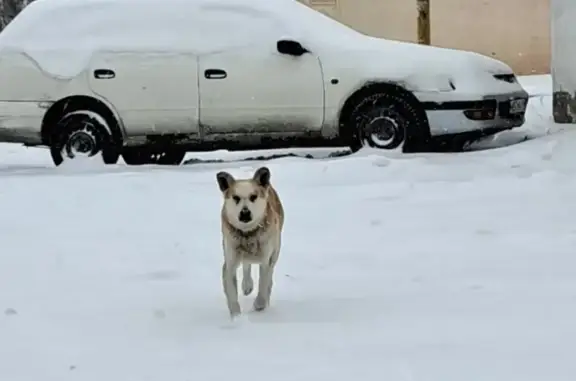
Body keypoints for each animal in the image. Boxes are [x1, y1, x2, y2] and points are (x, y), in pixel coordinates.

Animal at [216, 166, 286, 318]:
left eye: (253, 196)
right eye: (236, 198)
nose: (245, 212)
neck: (248, 235)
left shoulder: (266, 259)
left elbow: (264, 281)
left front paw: (259, 304)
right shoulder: (229, 262)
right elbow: (231, 293)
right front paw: (236, 316)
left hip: (275, 251)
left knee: (269, 275)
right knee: (246, 264)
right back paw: (247, 285)